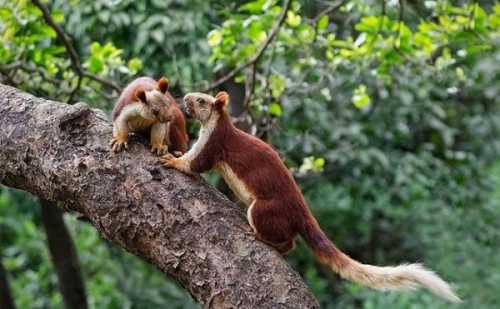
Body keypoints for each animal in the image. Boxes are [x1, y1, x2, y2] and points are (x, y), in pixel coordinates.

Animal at [160, 90, 460, 302]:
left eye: (201, 100)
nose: (184, 97)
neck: (217, 125)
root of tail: (302, 214)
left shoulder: (214, 143)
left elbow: (195, 164)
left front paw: (171, 160)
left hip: (263, 209)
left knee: (287, 241)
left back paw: (259, 237)